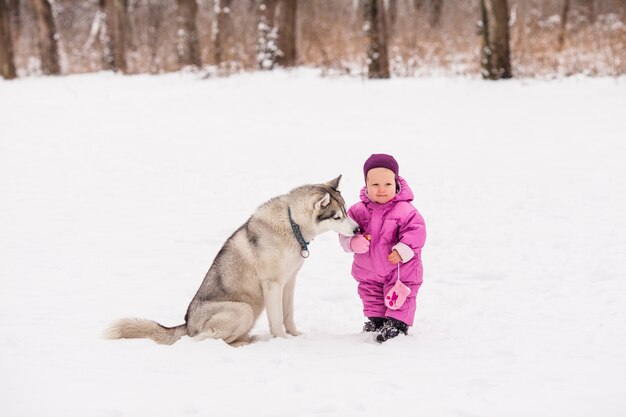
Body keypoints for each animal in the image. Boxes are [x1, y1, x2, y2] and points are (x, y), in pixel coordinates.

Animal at [106, 175, 356, 344]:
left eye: (346, 211)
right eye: (337, 217)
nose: (357, 229)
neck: (291, 223)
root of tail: (187, 324)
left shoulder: (289, 281)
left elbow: (288, 314)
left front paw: (294, 335)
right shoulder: (273, 285)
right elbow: (277, 319)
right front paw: (282, 341)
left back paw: (247, 340)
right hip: (243, 309)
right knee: (201, 340)